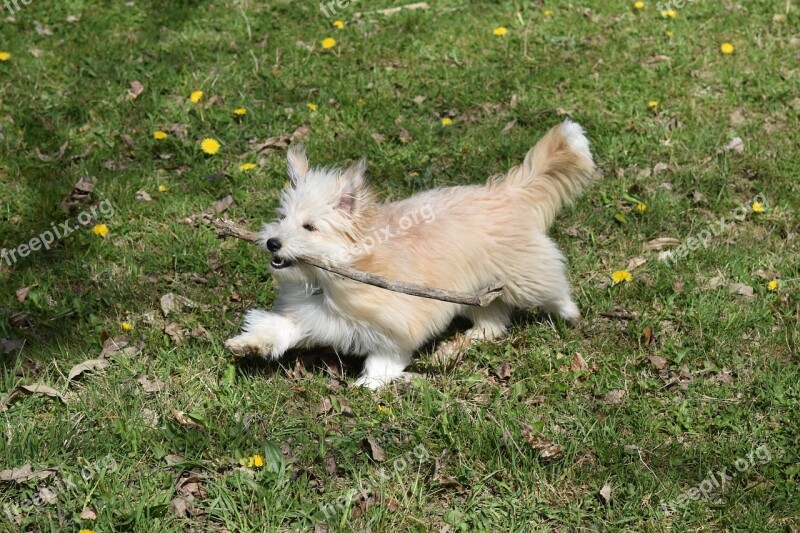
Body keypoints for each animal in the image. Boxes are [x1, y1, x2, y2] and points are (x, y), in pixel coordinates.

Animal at [225, 119, 592, 386]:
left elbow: (385, 358)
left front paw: (372, 384)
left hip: (523, 276)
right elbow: (282, 328)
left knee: (551, 286)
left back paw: (570, 313)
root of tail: (506, 192)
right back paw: (455, 348)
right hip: (475, 292)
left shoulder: (398, 323)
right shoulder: (314, 316)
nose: (273, 242)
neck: (332, 278)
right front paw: (250, 343)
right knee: (493, 323)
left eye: (309, 227)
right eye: (282, 218)